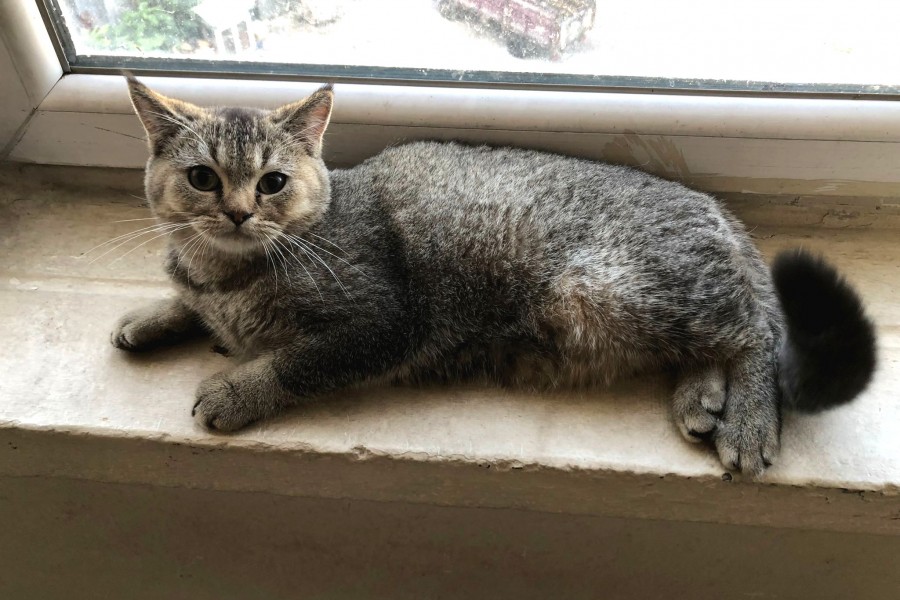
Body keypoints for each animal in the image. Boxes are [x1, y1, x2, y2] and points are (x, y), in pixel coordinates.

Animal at [112, 77, 876, 475]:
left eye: (272, 182)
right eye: (203, 179)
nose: (238, 212)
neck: (230, 271)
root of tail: (715, 206)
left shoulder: (383, 323)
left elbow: (293, 360)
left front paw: (237, 387)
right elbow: (189, 302)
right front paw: (152, 316)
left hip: (606, 289)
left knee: (753, 332)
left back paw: (746, 419)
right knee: (721, 336)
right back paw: (700, 397)